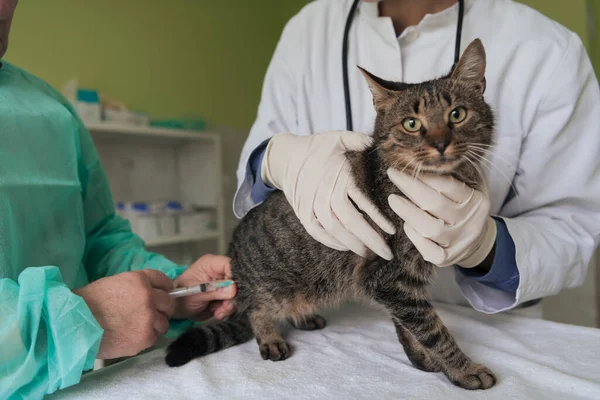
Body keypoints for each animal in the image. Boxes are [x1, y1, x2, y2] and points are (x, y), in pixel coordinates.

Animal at [165, 39, 496, 390]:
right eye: (412, 123)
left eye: (457, 114)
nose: (440, 143)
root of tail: (234, 258)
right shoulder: (387, 277)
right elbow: (431, 328)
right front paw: (463, 369)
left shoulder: (402, 282)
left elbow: (408, 326)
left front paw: (422, 359)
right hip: (269, 288)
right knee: (256, 310)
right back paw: (270, 337)